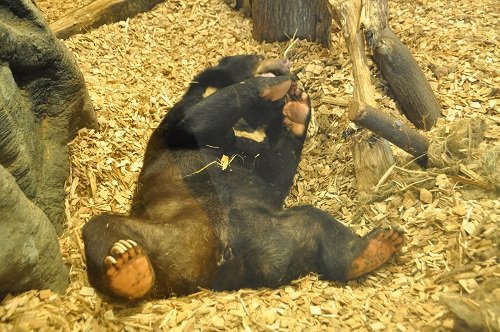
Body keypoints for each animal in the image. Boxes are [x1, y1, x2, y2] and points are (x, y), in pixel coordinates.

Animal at [81, 55, 402, 300]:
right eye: (256, 55)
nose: (285, 60)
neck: (247, 122)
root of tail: (224, 271)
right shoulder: (186, 112)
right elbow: (194, 122)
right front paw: (272, 85)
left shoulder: (258, 153)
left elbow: (273, 172)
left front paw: (297, 110)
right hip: (166, 237)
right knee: (103, 229)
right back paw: (128, 268)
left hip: (280, 233)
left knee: (318, 223)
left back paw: (373, 248)